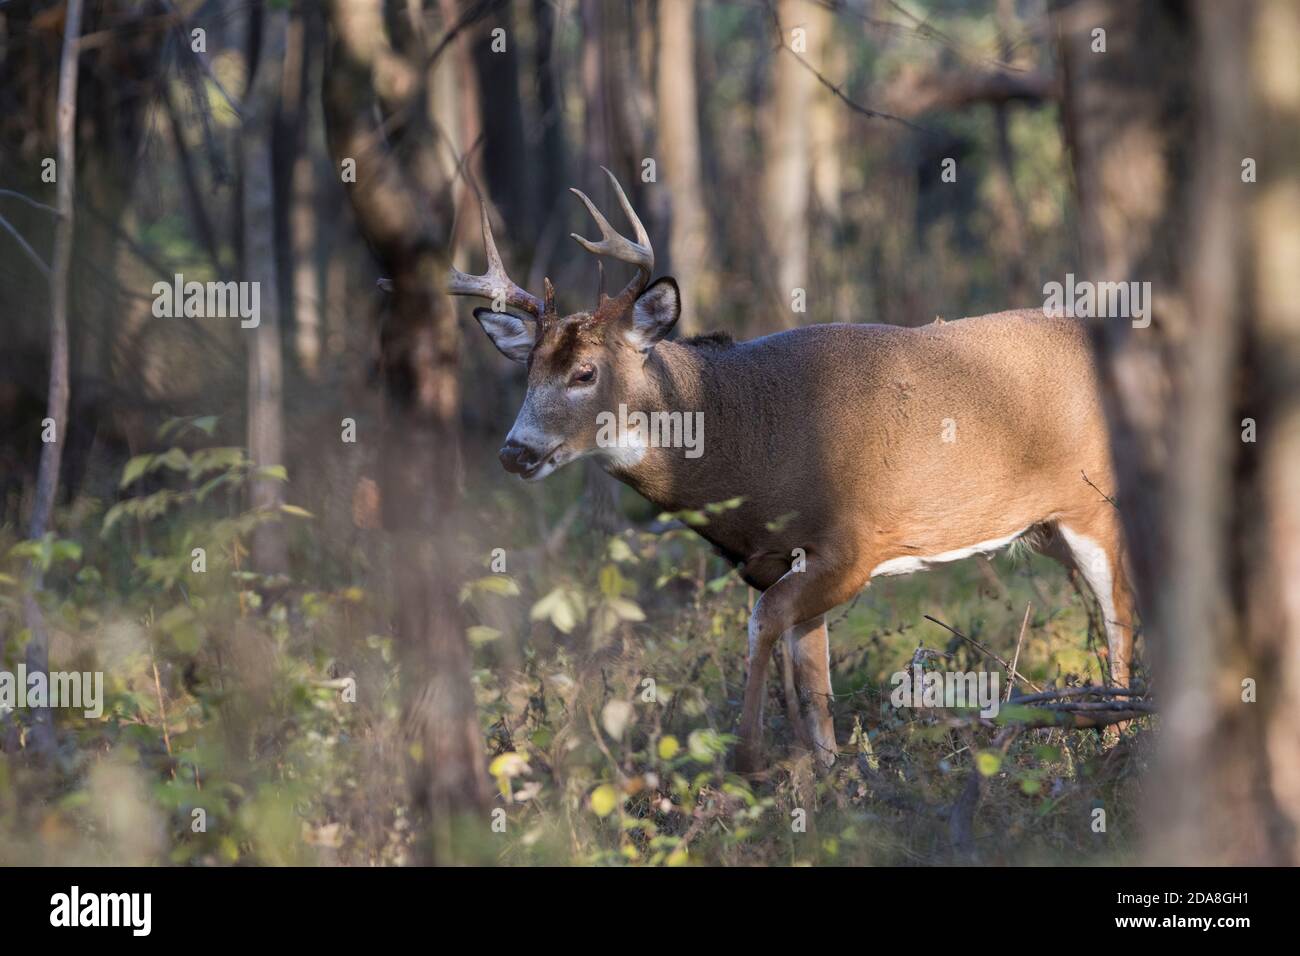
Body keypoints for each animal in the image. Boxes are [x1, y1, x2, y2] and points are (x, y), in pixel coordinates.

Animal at [447, 168, 1138, 773]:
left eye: (585, 373)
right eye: (529, 372)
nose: (515, 452)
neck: (748, 441)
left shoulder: (853, 543)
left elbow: (763, 625)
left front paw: (749, 760)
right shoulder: (787, 560)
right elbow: (814, 683)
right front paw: (834, 781)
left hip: (1093, 504)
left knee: (1120, 613)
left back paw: (1116, 738)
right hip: (1043, 527)